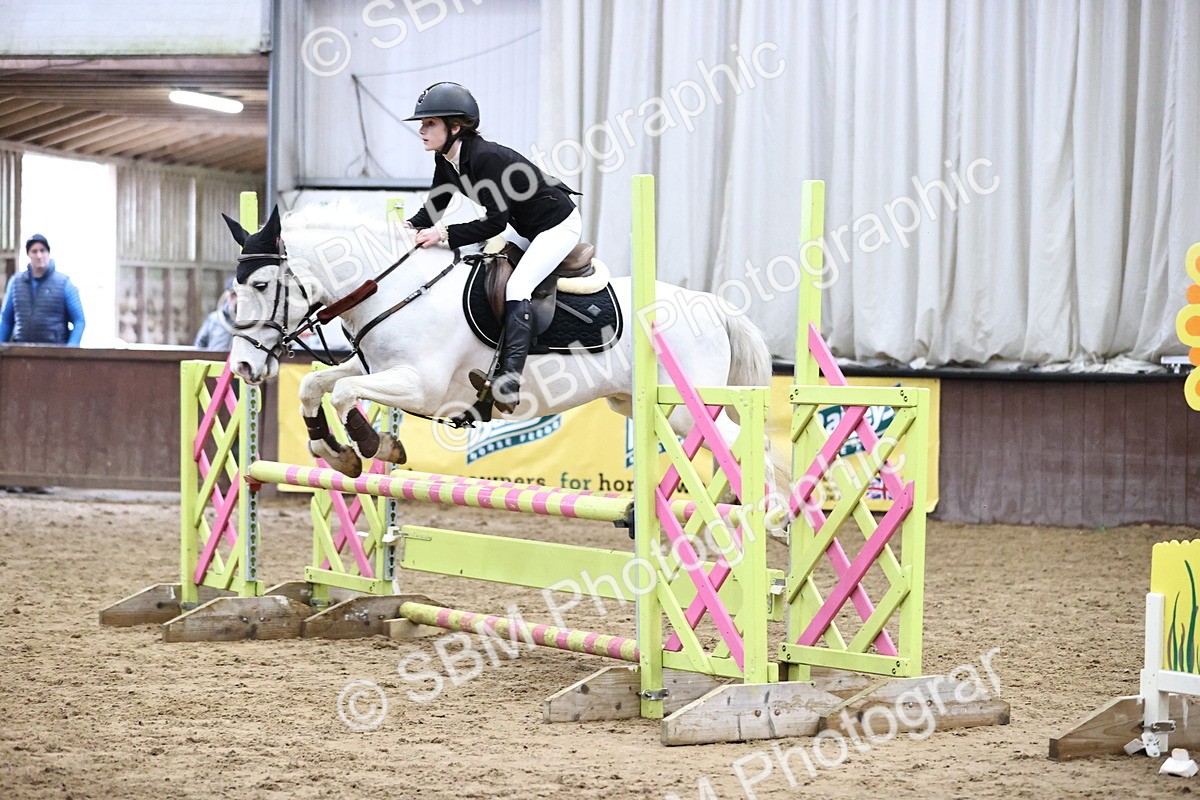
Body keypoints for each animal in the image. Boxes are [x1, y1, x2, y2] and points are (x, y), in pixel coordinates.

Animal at [225, 203, 789, 524]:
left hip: (686, 410)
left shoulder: (423, 385)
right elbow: (317, 385)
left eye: (261, 285)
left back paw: (770, 517)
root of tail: (712, 305)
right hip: (643, 407)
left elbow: (342, 394)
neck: (396, 286)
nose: (244, 369)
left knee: (752, 447)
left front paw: (371, 444)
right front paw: (334, 451)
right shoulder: (377, 369)